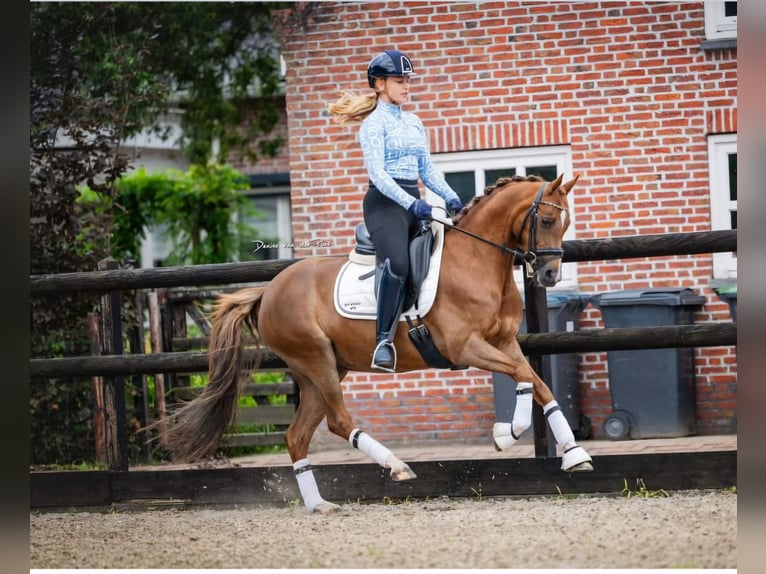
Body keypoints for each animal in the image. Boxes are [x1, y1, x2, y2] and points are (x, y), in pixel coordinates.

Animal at [159, 173, 596, 516]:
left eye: (565, 221)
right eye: (547, 219)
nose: (551, 275)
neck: (476, 261)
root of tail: (269, 290)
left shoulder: (503, 341)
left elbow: (535, 381)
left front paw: (556, 448)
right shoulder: (464, 347)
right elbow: (524, 376)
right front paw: (522, 438)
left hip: (321, 370)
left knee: (297, 436)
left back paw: (319, 504)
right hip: (316, 360)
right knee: (338, 421)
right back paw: (397, 465)